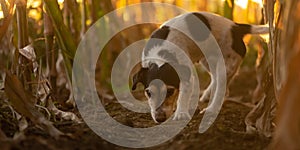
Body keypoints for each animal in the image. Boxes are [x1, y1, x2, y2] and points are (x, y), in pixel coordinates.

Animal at [131, 12, 268, 123]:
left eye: (169, 91)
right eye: (148, 93)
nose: (159, 119)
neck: (161, 55)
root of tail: (235, 27)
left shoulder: (187, 77)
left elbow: (183, 96)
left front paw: (181, 113)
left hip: (226, 64)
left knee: (222, 89)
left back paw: (211, 109)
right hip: (207, 60)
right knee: (216, 81)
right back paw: (207, 95)